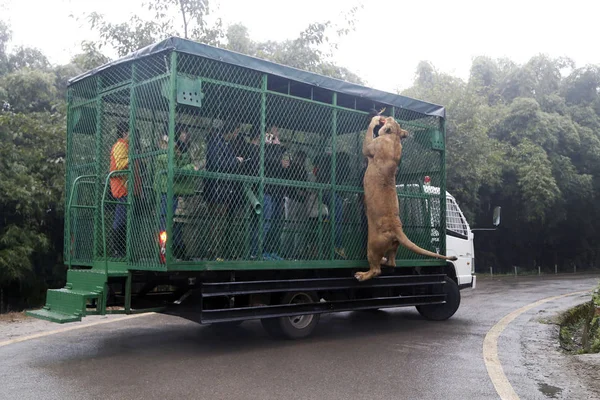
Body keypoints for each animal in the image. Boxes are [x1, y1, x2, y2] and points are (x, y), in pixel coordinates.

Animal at [354, 112, 458, 282]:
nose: (387, 116)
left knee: (376, 270)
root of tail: (396, 228)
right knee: (392, 263)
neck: (394, 137)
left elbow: (368, 136)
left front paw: (374, 120)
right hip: (393, 247)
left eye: (390, 119)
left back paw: (362, 275)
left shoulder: (370, 146)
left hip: (373, 246)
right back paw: (384, 261)